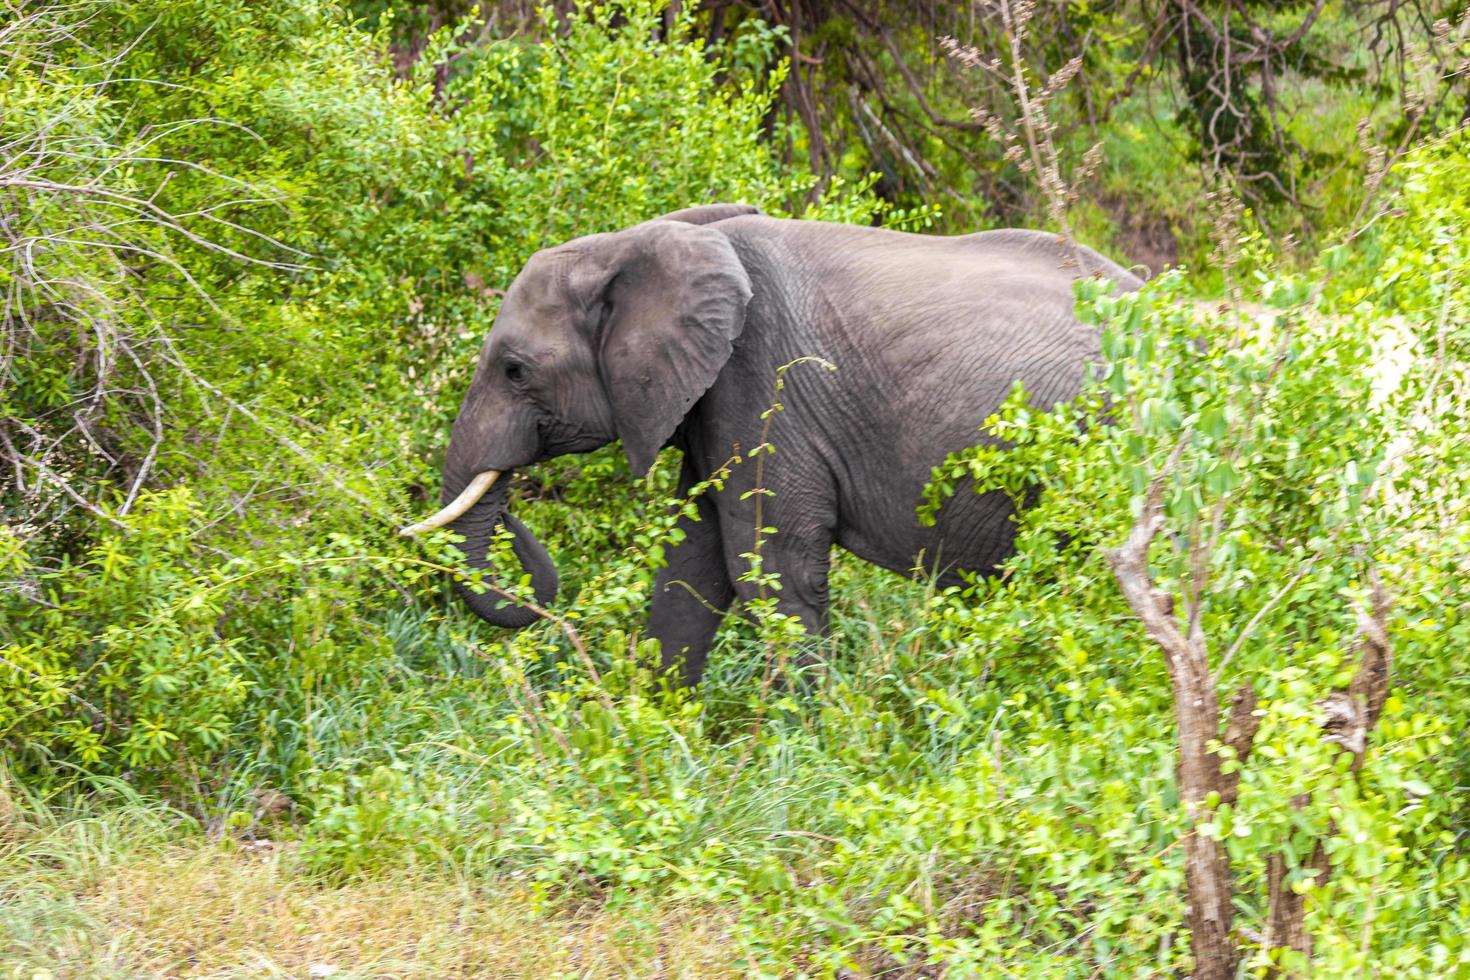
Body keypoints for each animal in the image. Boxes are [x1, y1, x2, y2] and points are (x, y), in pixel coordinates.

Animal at [405, 202, 1146, 687]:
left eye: (514, 370)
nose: (512, 504)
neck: (641, 243)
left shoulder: (763, 386)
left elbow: (766, 566)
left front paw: (807, 753)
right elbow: (692, 564)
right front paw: (659, 727)